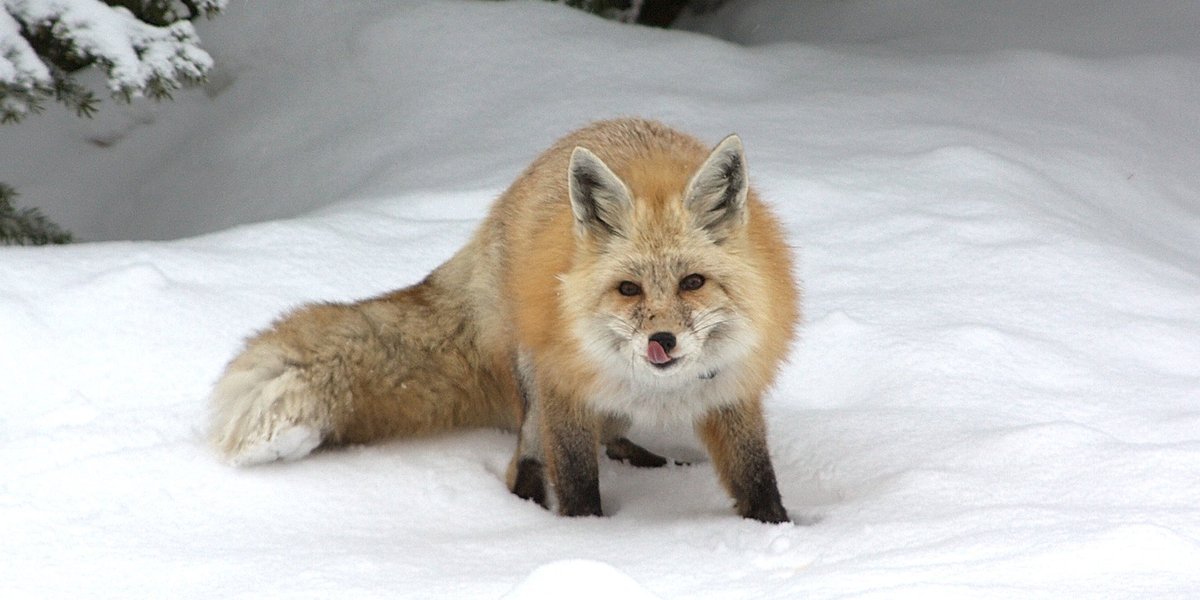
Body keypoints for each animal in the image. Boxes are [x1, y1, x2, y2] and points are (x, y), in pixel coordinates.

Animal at [209, 118, 799, 523]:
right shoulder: (564, 390)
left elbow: (756, 476)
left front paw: (775, 531)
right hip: (534, 391)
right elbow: (577, 480)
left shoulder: (731, 392)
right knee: (524, 463)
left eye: (692, 283)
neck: (662, 388)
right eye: (628, 289)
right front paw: (591, 540)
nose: (663, 340)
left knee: (611, 434)